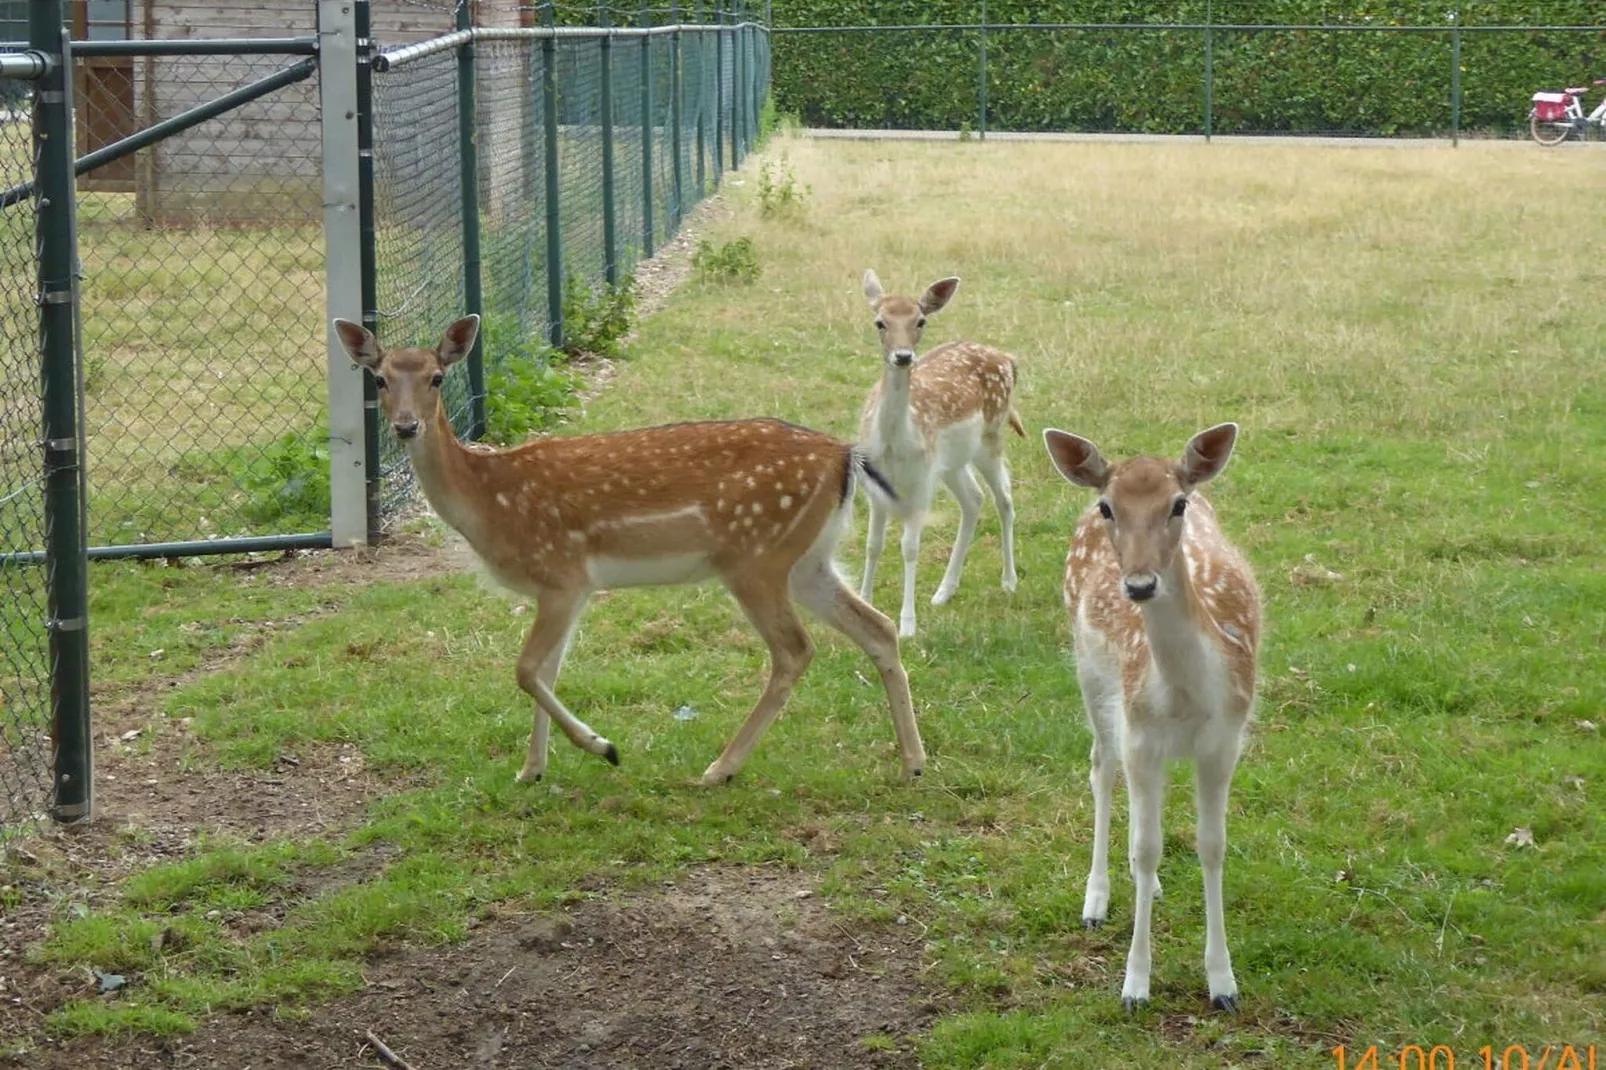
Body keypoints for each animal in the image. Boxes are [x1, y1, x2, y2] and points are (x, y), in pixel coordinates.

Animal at [338, 313, 931, 780]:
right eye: (379, 379)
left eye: (437, 377)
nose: (406, 427)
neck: (491, 504)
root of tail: (846, 455)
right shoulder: (570, 590)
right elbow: (547, 671)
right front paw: (531, 770)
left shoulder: (562, 574)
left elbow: (526, 670)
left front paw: (602, 746)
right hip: (807, 559)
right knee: (876, 628)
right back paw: (914, 762)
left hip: (755, 556)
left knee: (795, 650)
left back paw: (720, 768)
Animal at [860, 271, 1021, 636]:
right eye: (880, 322)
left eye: (920, 320)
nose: (903, 356)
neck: (893, 445)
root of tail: (1008, 359)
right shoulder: (874, 483)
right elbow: (873, 544)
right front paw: (864, 602)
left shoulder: (921, 480)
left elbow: (909, 547)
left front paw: (907, 625)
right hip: (951, 463)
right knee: (974, 499)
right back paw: (944, 591)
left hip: (991, 435)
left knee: (1004, 499)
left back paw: (1009, 581)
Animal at [1040, 417, 1265, 1008]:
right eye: (1109, 507)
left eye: (1177, 504)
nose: (1140, 584)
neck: (1186, 698)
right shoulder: (1140, 731)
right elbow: (1146, 848)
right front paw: (1135, 984)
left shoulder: (1225, 739)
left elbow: (1212, 846)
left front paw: (1223, 983)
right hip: (1093, 679)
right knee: (1101, 767)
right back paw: (1095, 899)